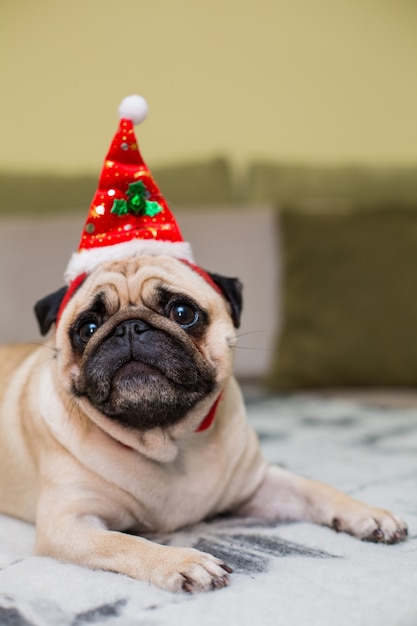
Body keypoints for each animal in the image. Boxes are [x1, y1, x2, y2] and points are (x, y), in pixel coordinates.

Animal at [0, 254, 406, 588]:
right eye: (86, 328)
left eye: (183, 313)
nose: (129, 328)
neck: (165, 439)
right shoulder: (68, 524)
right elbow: (123, 541)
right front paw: (183, 561)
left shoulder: (258, 485)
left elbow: (315, 489)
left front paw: (367, 514)